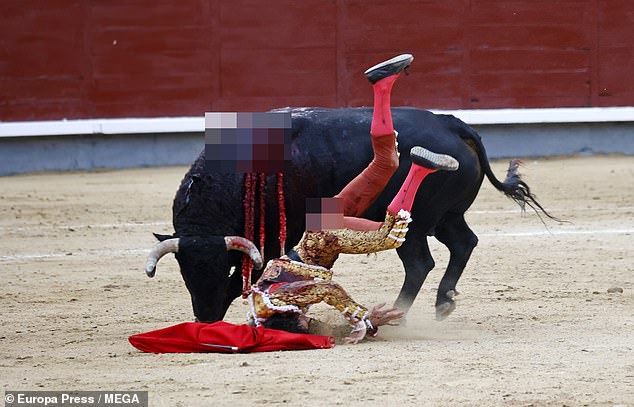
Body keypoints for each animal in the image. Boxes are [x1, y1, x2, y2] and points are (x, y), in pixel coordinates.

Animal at [149, 107, 548, 324]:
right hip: (446, 216)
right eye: (185, 272)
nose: (205, 316)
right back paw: (442, 303)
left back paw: (400, 312)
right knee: (464, 243)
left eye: (223, 269)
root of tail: (451, 124)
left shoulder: (279, 233)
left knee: (420, 262)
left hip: (419, 222)